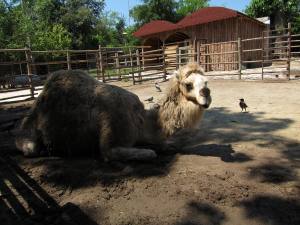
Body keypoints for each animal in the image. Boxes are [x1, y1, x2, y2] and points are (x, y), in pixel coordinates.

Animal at [15, 62, 211, 161]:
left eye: (206, 81)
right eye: (188, 84)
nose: (206, 94)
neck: (141, 120)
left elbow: (166, 145)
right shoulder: (111, 139)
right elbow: (148, 153)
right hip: (29, 134)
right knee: (30, 147)